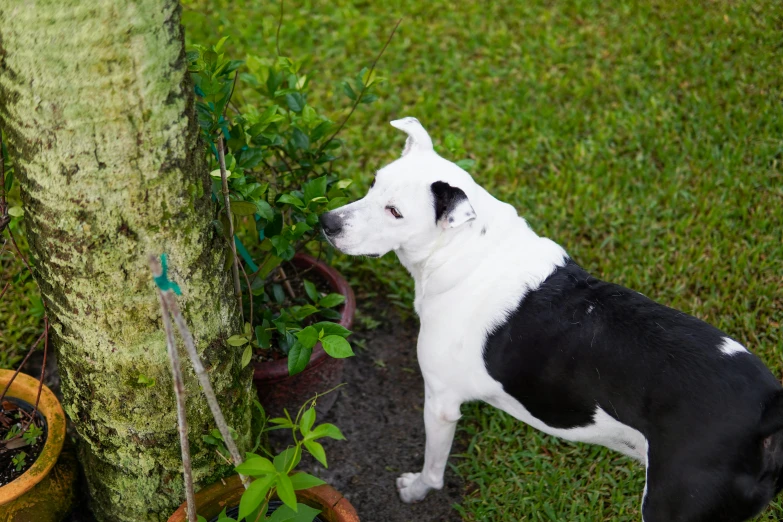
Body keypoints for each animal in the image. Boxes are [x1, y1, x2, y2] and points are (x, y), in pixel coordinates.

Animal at [320, 118, 783, 520]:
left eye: (395, 212)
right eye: (373, 183)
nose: (326, 222)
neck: (467, 251)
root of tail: (767, 407)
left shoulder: (440, 403)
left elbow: (434, 470)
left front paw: (416, 489)